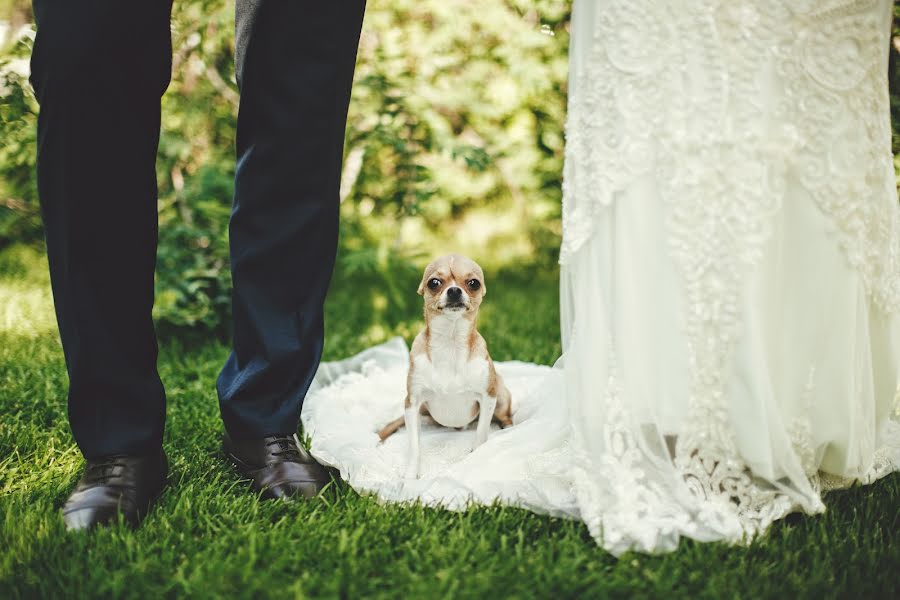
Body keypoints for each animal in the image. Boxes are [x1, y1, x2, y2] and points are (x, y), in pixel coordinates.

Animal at [376, 253, 510, 478]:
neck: (450, 342)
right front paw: (410, 477)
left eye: (473, 283)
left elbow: (481, 434)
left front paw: (475, 459)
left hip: (501, 398)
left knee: (505, 418)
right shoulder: (412, 403)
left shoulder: (488, 397)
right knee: (394, 423)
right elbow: (414, 446)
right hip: (419, 411)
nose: (454, 290)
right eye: (434, 283)